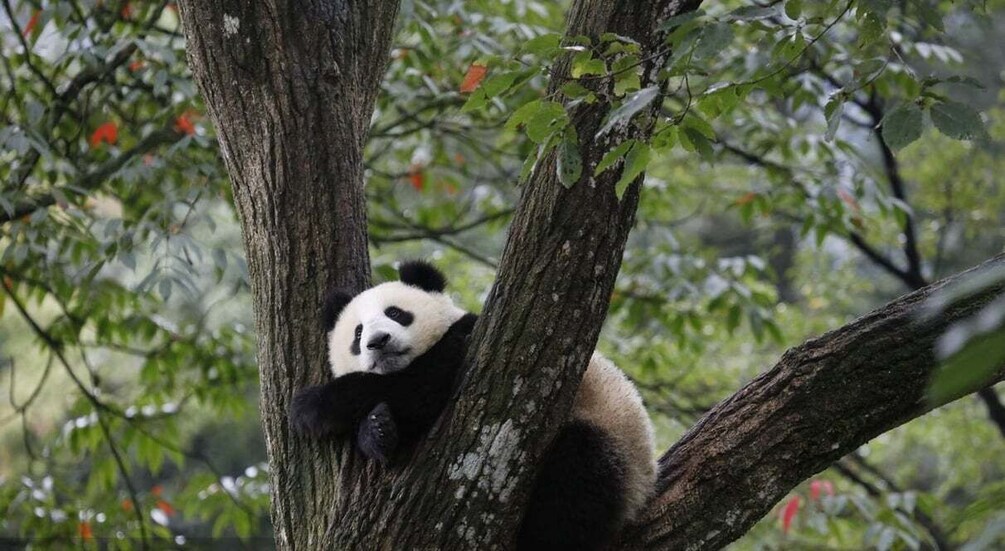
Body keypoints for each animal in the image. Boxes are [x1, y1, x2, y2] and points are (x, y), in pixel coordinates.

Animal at [289, 261, 659, 546]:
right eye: (357, 332)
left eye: (396, 313)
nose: (378, 341)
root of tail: (644, 488)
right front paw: (377, 431)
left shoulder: (473, 338)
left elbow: (422, 385)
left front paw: (312, 406)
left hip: (616, 445)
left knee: (578, 475)